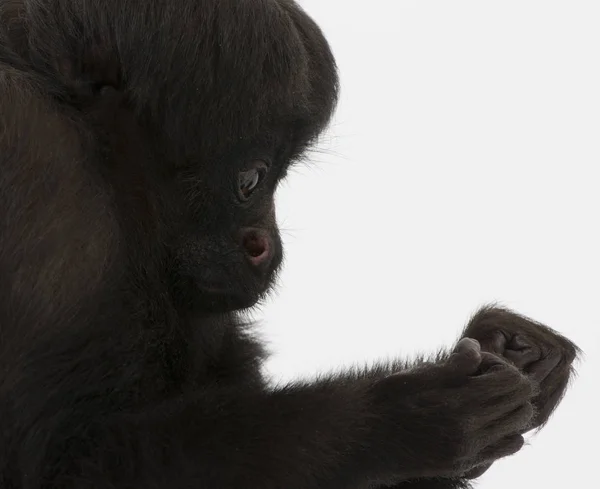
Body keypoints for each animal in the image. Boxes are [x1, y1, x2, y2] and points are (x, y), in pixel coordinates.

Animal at [0, 0, 580, 488]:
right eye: (251, 181)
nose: (272, 246)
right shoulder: (43, 164)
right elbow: (48, 466)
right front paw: (399, 420)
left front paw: (512, 348)